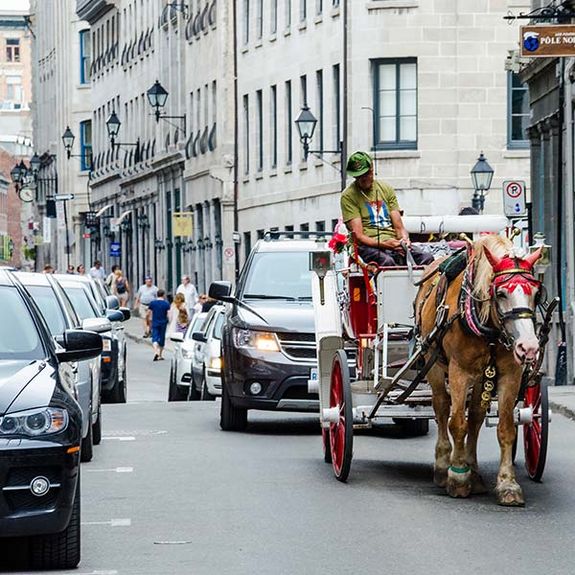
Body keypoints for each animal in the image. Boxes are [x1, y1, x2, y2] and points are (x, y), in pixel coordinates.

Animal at [414, 233, 544, 504]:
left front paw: (507, 485)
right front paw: (457, 477)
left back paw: (474, 472)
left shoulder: (510, 374)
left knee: (475, 418)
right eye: (501, 293)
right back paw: (444, 467)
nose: (528, 347)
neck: (491, 330)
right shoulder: (459, 372)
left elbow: (505, 428)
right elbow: (456, 423)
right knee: (441, 408)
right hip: (433, 363)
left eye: (536, 294)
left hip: (483, 376)